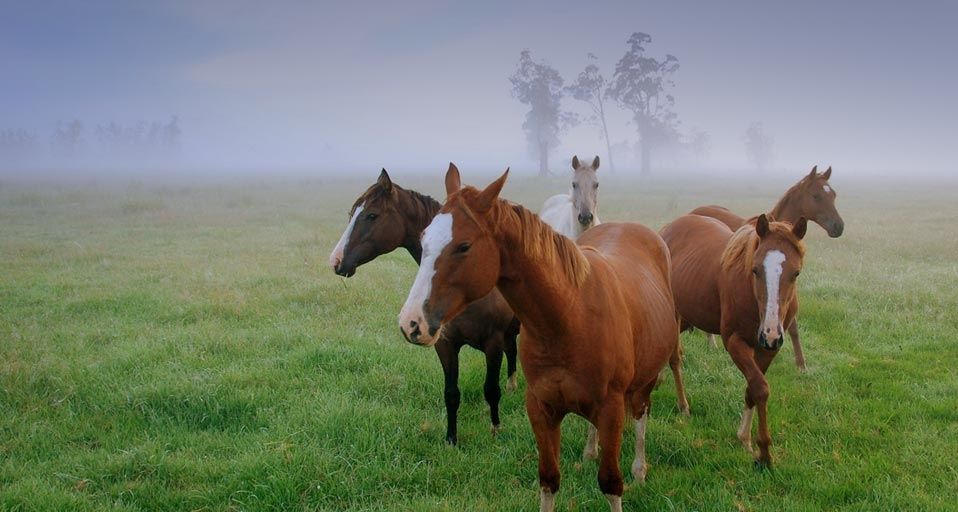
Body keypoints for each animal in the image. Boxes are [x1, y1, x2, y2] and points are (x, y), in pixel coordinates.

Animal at [328, 168, 520, 445]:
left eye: (372, 215)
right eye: (351, 213)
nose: (336, 261)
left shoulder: (492, 343)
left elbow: (491, 390)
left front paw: (495, 430)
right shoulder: (445, 344)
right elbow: (451, 393)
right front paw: (451, 440)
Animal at [398, 164, 684, 512]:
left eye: (463, 246)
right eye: (423, 239)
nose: (411, 322)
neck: (568, 317)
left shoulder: (612, 408)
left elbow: (611, 483)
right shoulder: (540, 408)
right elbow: (549, 480)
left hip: (646, 378)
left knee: (641, 413)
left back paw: (640, 469)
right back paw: (590, 451)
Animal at [660, 213, 807, 468]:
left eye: (795, 273)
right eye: (755, 270)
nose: (770, 333)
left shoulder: (767, 350)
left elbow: (753, 388)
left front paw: (745, 439)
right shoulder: (734, 342)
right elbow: (760, 388)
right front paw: (764, 453)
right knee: (674, 359)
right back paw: (683, 405)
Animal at [689, 165, 843, 370]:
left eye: (833, 195)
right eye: (816, 196)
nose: (838, 227)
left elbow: (793, 327)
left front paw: (801, 364)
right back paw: (711, 343)